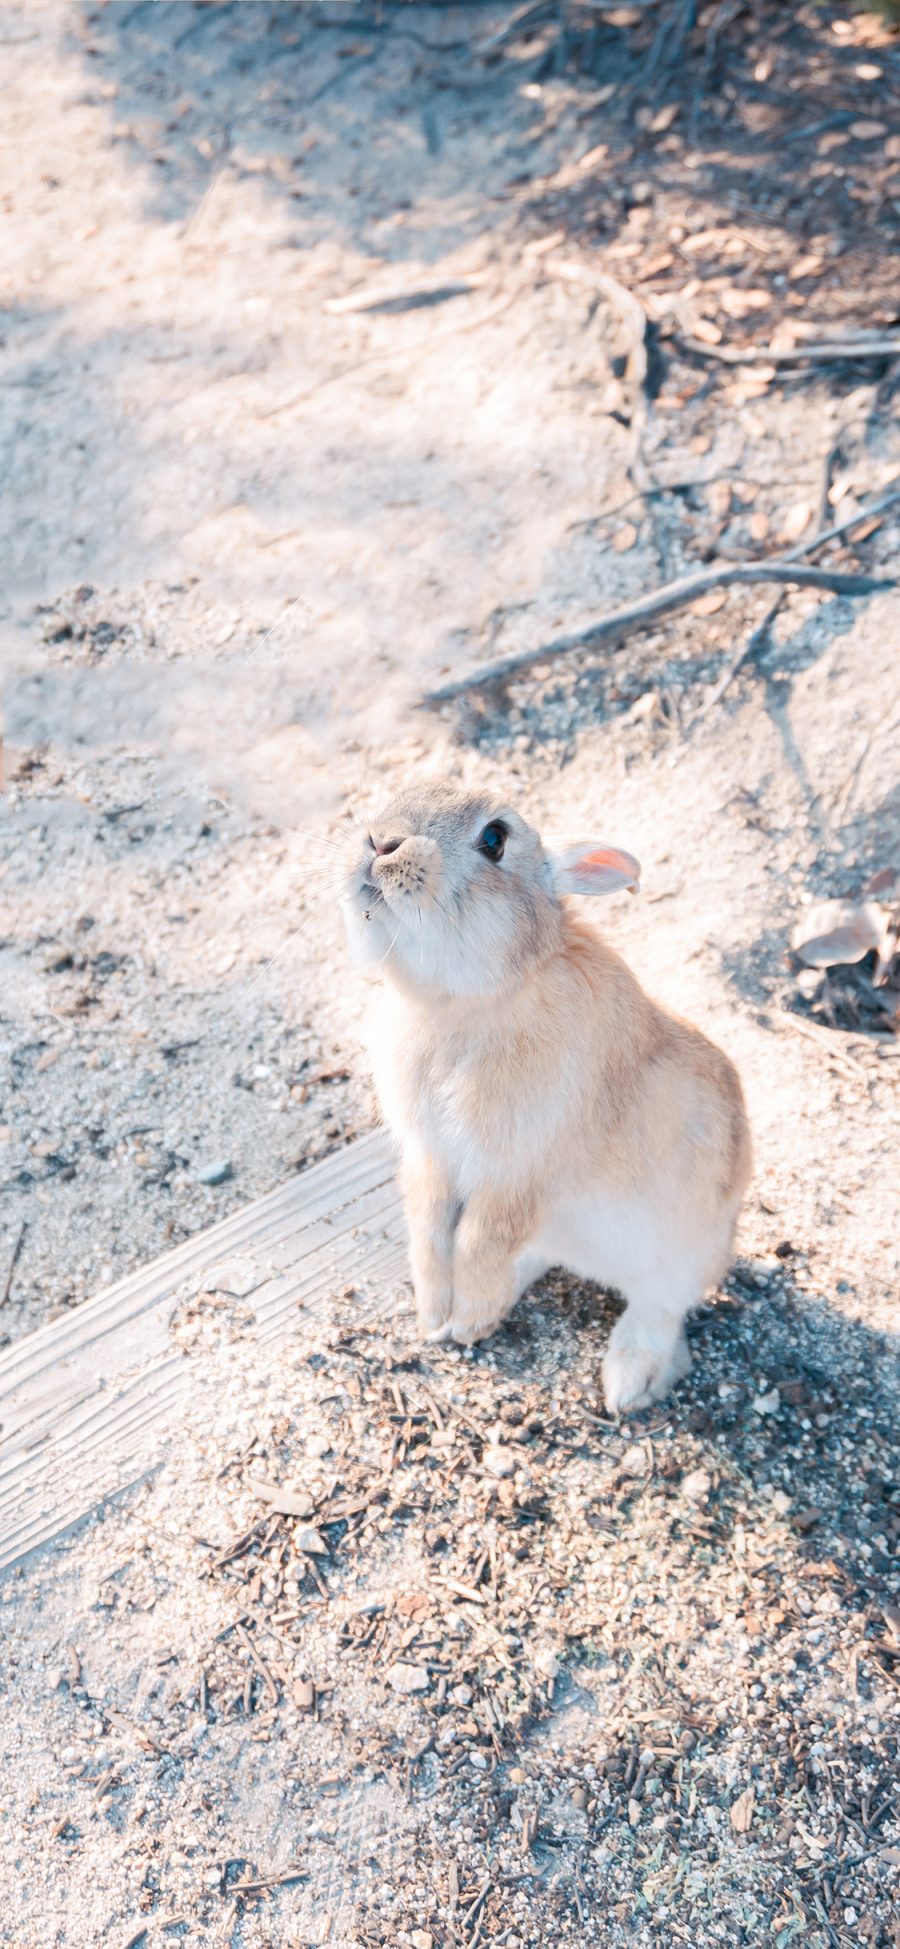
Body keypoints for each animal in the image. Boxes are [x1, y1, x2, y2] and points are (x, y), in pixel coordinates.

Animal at [340, 783, 748, 1411]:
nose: (380, 841)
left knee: (661, 1308)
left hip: (683, 1253)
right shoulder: (433, 1158)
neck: (466, 1004)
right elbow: (430, 1231)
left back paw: (628, 1383)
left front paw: (464, 1318)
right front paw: (436, 1319)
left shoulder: (521, 1173)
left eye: (494, 838)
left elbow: (479, 1240)